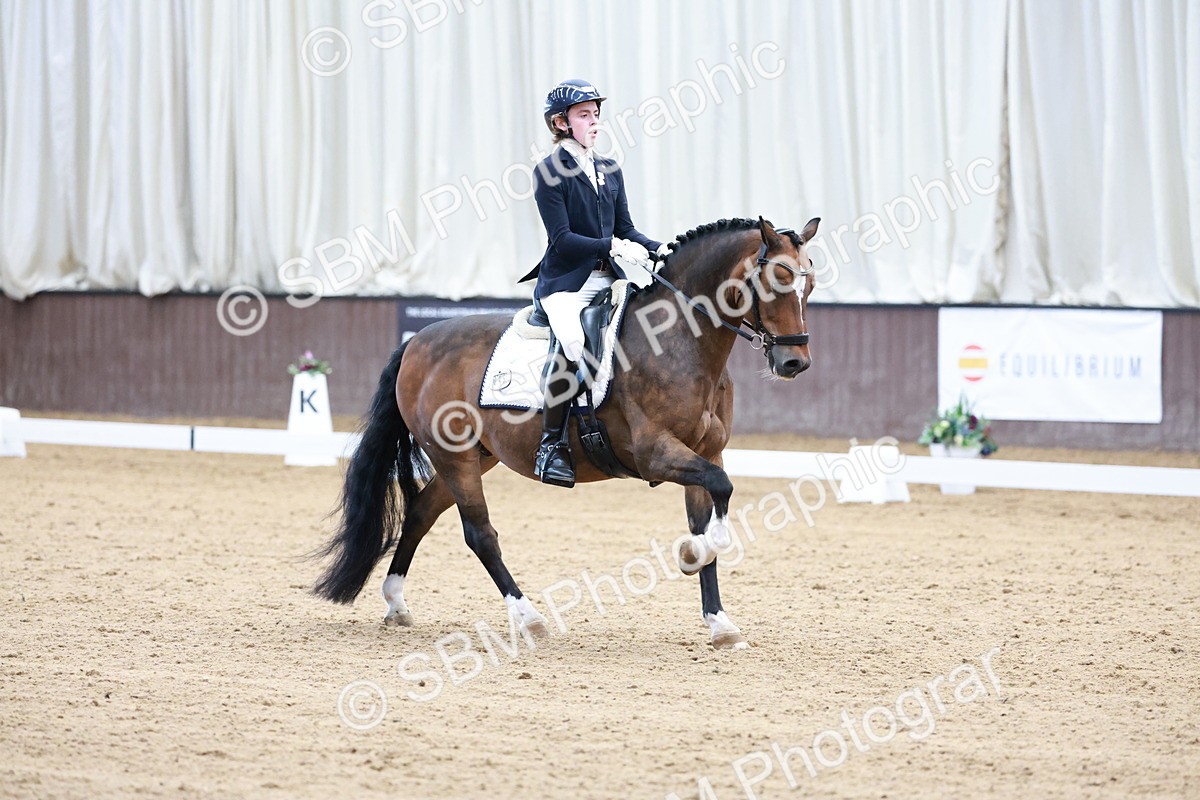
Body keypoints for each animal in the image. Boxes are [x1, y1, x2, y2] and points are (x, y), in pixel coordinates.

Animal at [312, 215, 820, 650]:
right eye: (777, 280)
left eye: (810, 284)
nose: (794, 363)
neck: (682, 342)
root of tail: (417, 341)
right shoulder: (656, 453)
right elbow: (722, 495)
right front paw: (691, 555)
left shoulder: (705, 452)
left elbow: (709, 512)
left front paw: (720, 624)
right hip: (453, 457)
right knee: (479, 534)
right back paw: (529, 618)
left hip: (475, 455)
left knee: (421, 511)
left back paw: (396, 602)